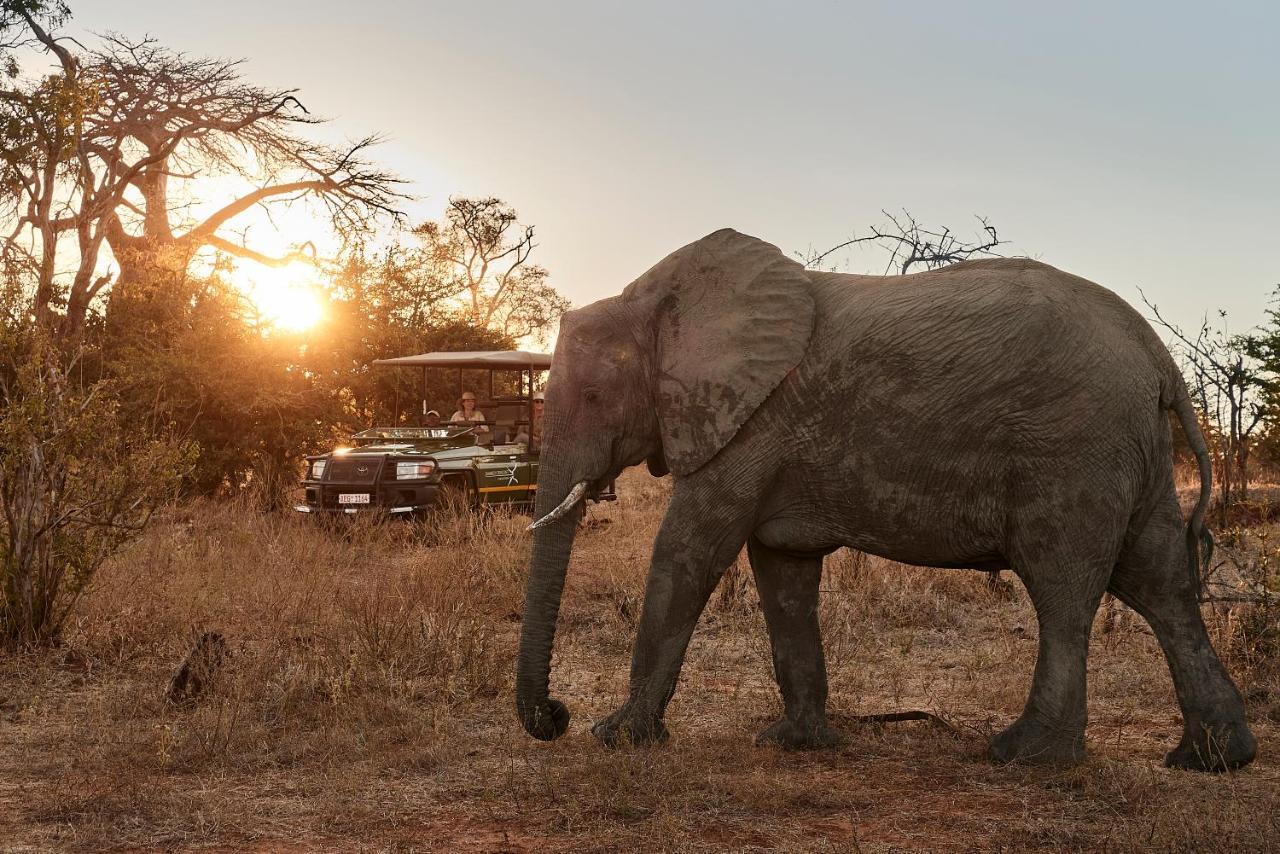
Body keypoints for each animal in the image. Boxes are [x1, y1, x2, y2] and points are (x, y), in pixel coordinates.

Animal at [514, 225, 1254, 768]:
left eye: (593, 395)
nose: (557, 716)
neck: (658, 299)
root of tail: (1158, 358)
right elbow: (783, 574)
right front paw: (795, 744)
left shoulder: (752, 426)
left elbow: (689, 553)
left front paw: (616, 737)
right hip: (1132, 450)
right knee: (1160, 584)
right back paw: (1213, 759)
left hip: (1075, 446)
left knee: (1064, 588)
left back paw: (1025, 756)